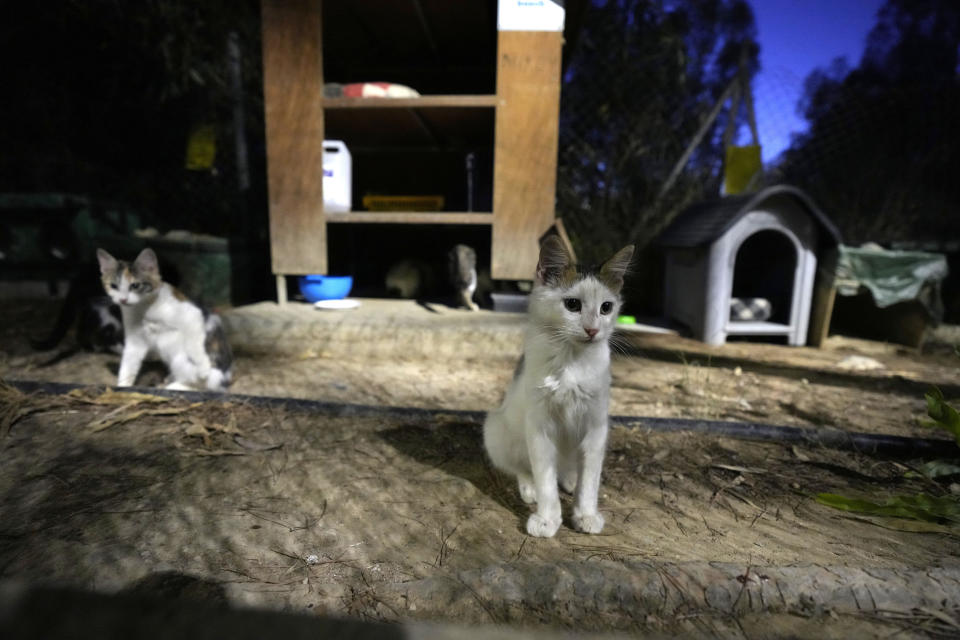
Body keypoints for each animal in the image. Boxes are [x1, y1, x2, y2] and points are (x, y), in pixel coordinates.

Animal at [96, 249, 233, 390]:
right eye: (113, 286)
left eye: (135, 285)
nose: (123, 299)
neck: (142, 307)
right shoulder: (135, 339)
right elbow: (128, 364)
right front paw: (123, 386)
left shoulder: (193, 314)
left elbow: (195, 345)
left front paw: (203, 367)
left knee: (202, 385)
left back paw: (176, 386)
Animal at [484, 235, 632, 536]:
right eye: (572, 304)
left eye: (606, 308)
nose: (592, 330)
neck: (572, 361)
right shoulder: (539, 427)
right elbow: (545, 480)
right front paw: (547, 519)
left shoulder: (596, 426)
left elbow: (590, 479)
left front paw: (585, 514)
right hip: (496, 430)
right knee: (520, 467)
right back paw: (528, 487)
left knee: (571, 470)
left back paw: (570, 479)